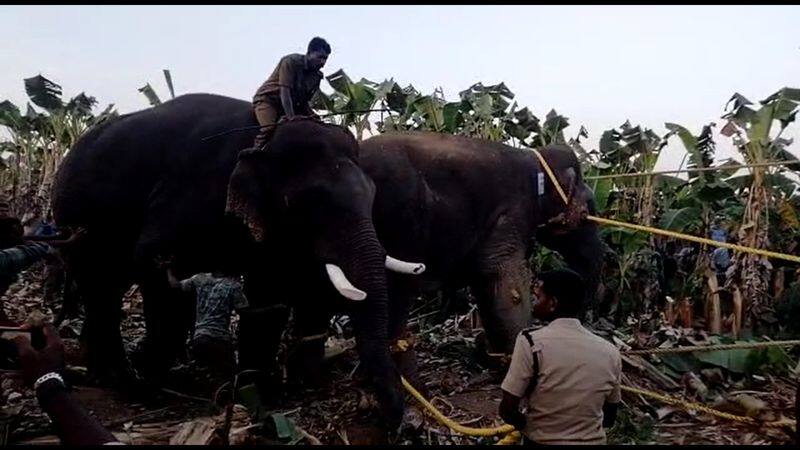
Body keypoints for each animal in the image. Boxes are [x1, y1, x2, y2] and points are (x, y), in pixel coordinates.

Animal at [50, 94, 418, 428]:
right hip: (72, 222)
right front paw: (150, 386)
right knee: (101, 285)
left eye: (372, 194)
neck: (265, 140)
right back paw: (121, 379)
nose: (390, 420)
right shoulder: (187, 194)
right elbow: (158, 264)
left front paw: (261, 392)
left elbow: (270, 291)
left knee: (106, 286)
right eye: (310, 202)